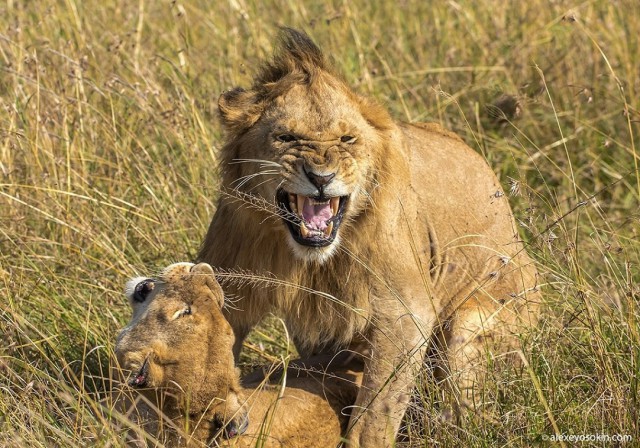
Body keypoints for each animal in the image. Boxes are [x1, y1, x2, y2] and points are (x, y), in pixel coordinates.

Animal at [198, 28, 536, 448]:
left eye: (347, 139)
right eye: (286, 136)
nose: (321, 178)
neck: (305, 257)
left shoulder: (405, 312)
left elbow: (377, 410)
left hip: (477, 327)